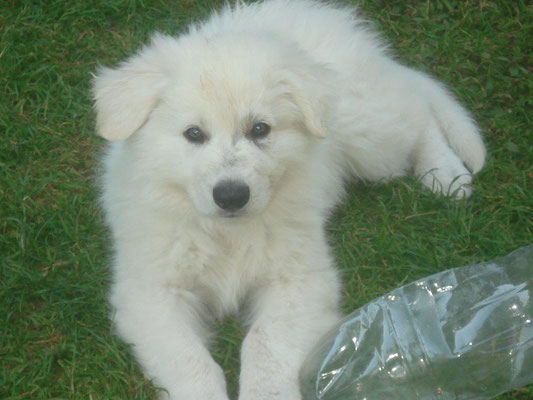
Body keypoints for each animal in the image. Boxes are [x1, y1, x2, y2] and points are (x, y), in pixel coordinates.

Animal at [92, 0, 486, 399]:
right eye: (194, 134)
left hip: (370, 137)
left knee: (417, 112)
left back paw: (446, 173)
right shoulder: (151, 292)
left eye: (260, 129)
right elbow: (192, 362)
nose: (231, 196)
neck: (226, 233)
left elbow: (264, 344)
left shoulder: (298, 278)